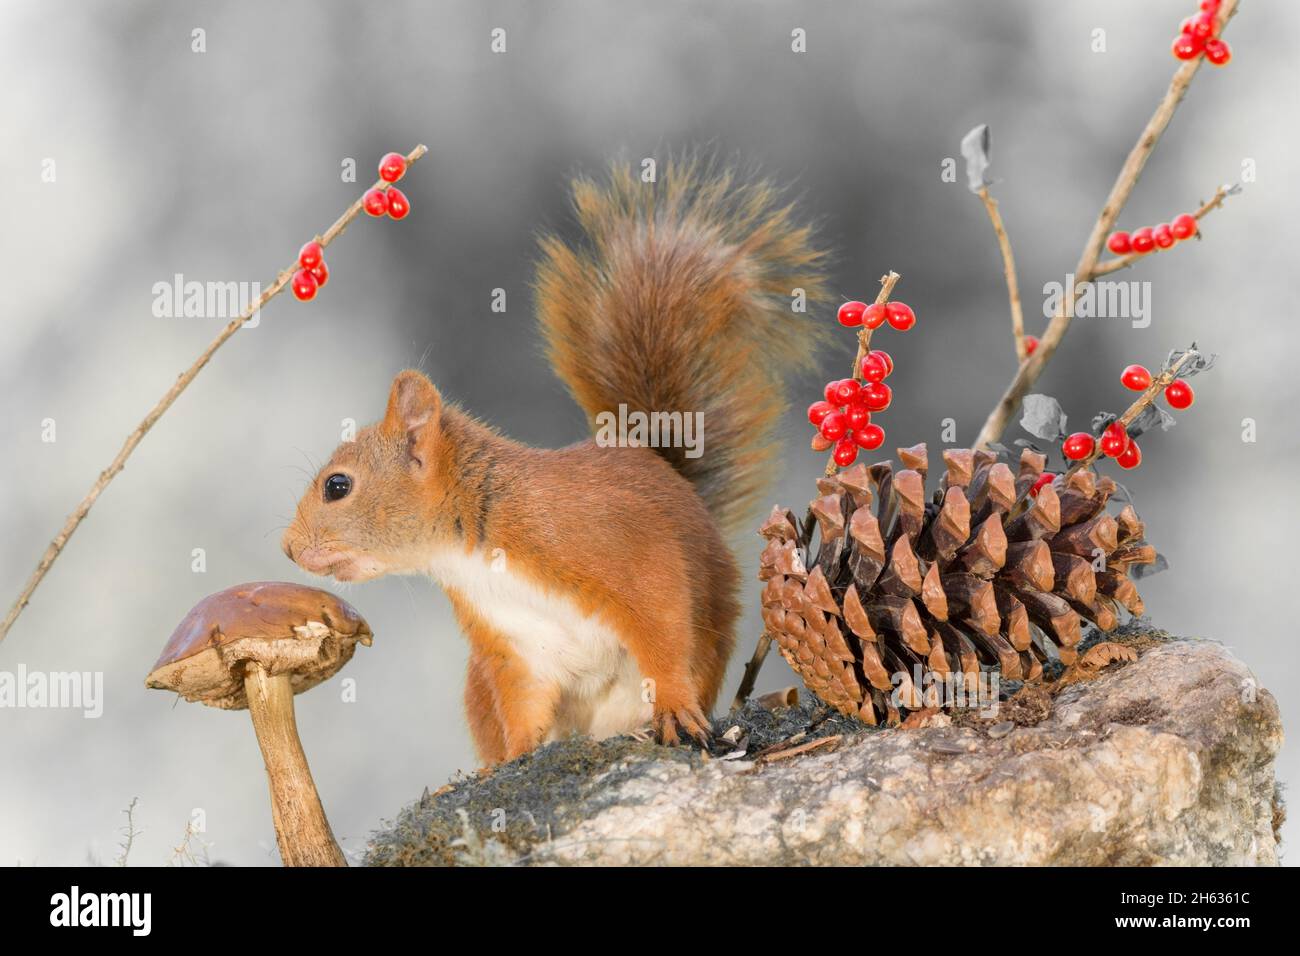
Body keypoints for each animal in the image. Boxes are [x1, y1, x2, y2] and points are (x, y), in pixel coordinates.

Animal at [282, 158, 827, 764]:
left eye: (337, 486)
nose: (288, 548)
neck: (473, 544)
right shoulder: (515, 642)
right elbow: (521, 703)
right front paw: (517, 757)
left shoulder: (621, 550)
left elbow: (663, 631)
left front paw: (676, 711)